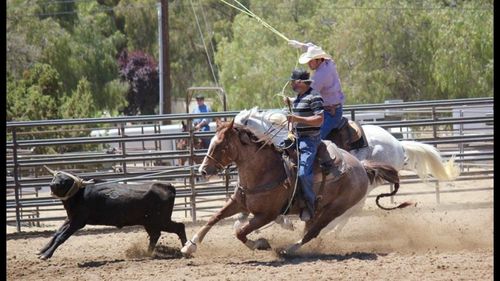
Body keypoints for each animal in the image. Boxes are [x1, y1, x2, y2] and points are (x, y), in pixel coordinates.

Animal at [180, 119, 410, 255]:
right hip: (319, 209)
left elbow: (241, 232)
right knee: (311, 228)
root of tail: (362, 167)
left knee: (314, 232)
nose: (203, 171)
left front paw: (260, 244)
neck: (264, 171)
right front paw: (190, 245)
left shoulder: (267, 215)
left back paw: (290, 249)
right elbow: (214, 218)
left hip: (336, 209)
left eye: (221, 145)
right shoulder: (238, 202)